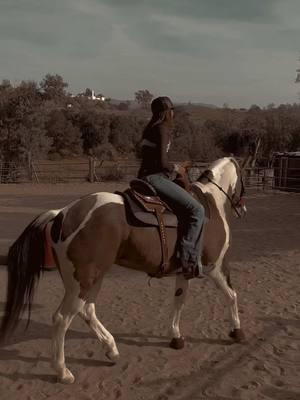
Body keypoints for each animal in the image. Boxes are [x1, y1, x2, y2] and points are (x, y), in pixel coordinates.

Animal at [0, 156, 247, 384]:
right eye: (243, 179)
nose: (242, 207)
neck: (211, 205)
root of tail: (62, 214)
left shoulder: (183, 271)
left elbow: (179, 302)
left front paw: (176, 337)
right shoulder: (215, 267)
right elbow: (232, 295)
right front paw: (237, 332)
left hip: (92, 277)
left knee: (86, 310)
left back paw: (111, 350)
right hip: (84, 280)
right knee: (62, 318)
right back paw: (63, 372)